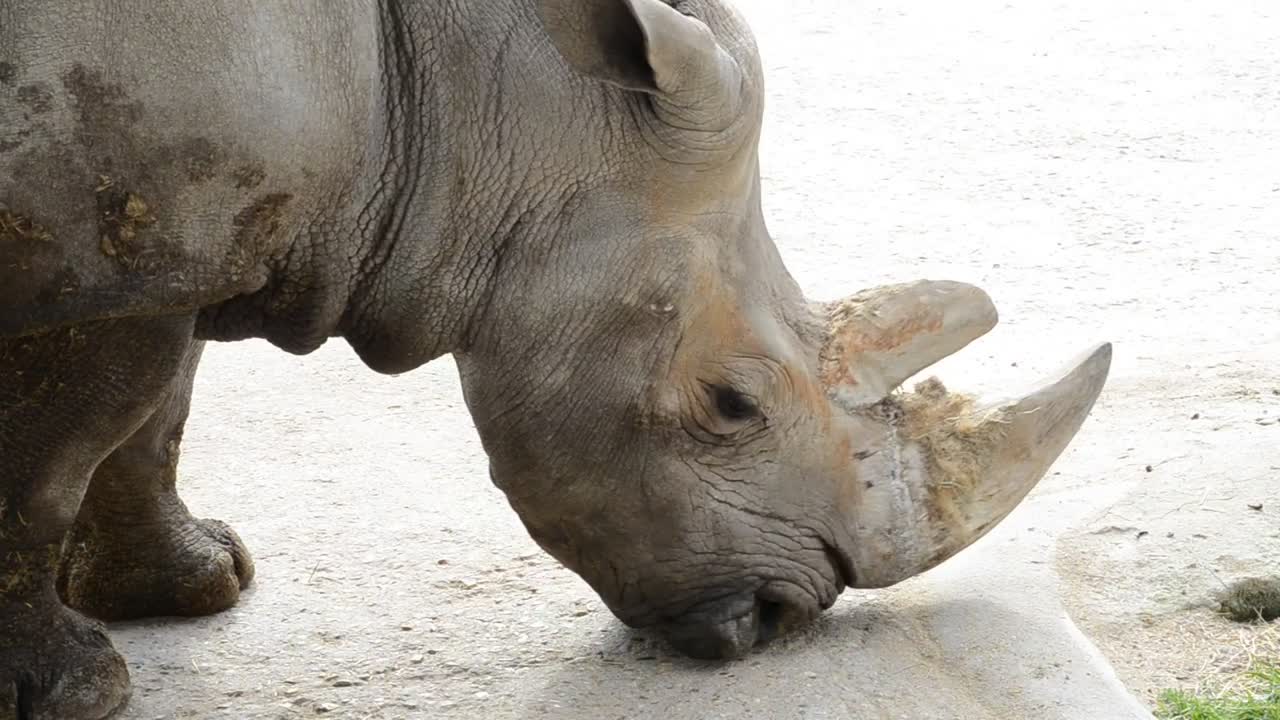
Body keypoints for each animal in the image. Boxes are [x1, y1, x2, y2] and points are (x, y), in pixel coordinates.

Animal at [0, 0, 1111, 716]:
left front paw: (194, 591)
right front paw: (77, 693)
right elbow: (49, 464)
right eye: (731, 405)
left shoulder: (176, 239)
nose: (776, 622)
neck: (453, 96)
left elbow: (155, 418)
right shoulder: (123, 249)